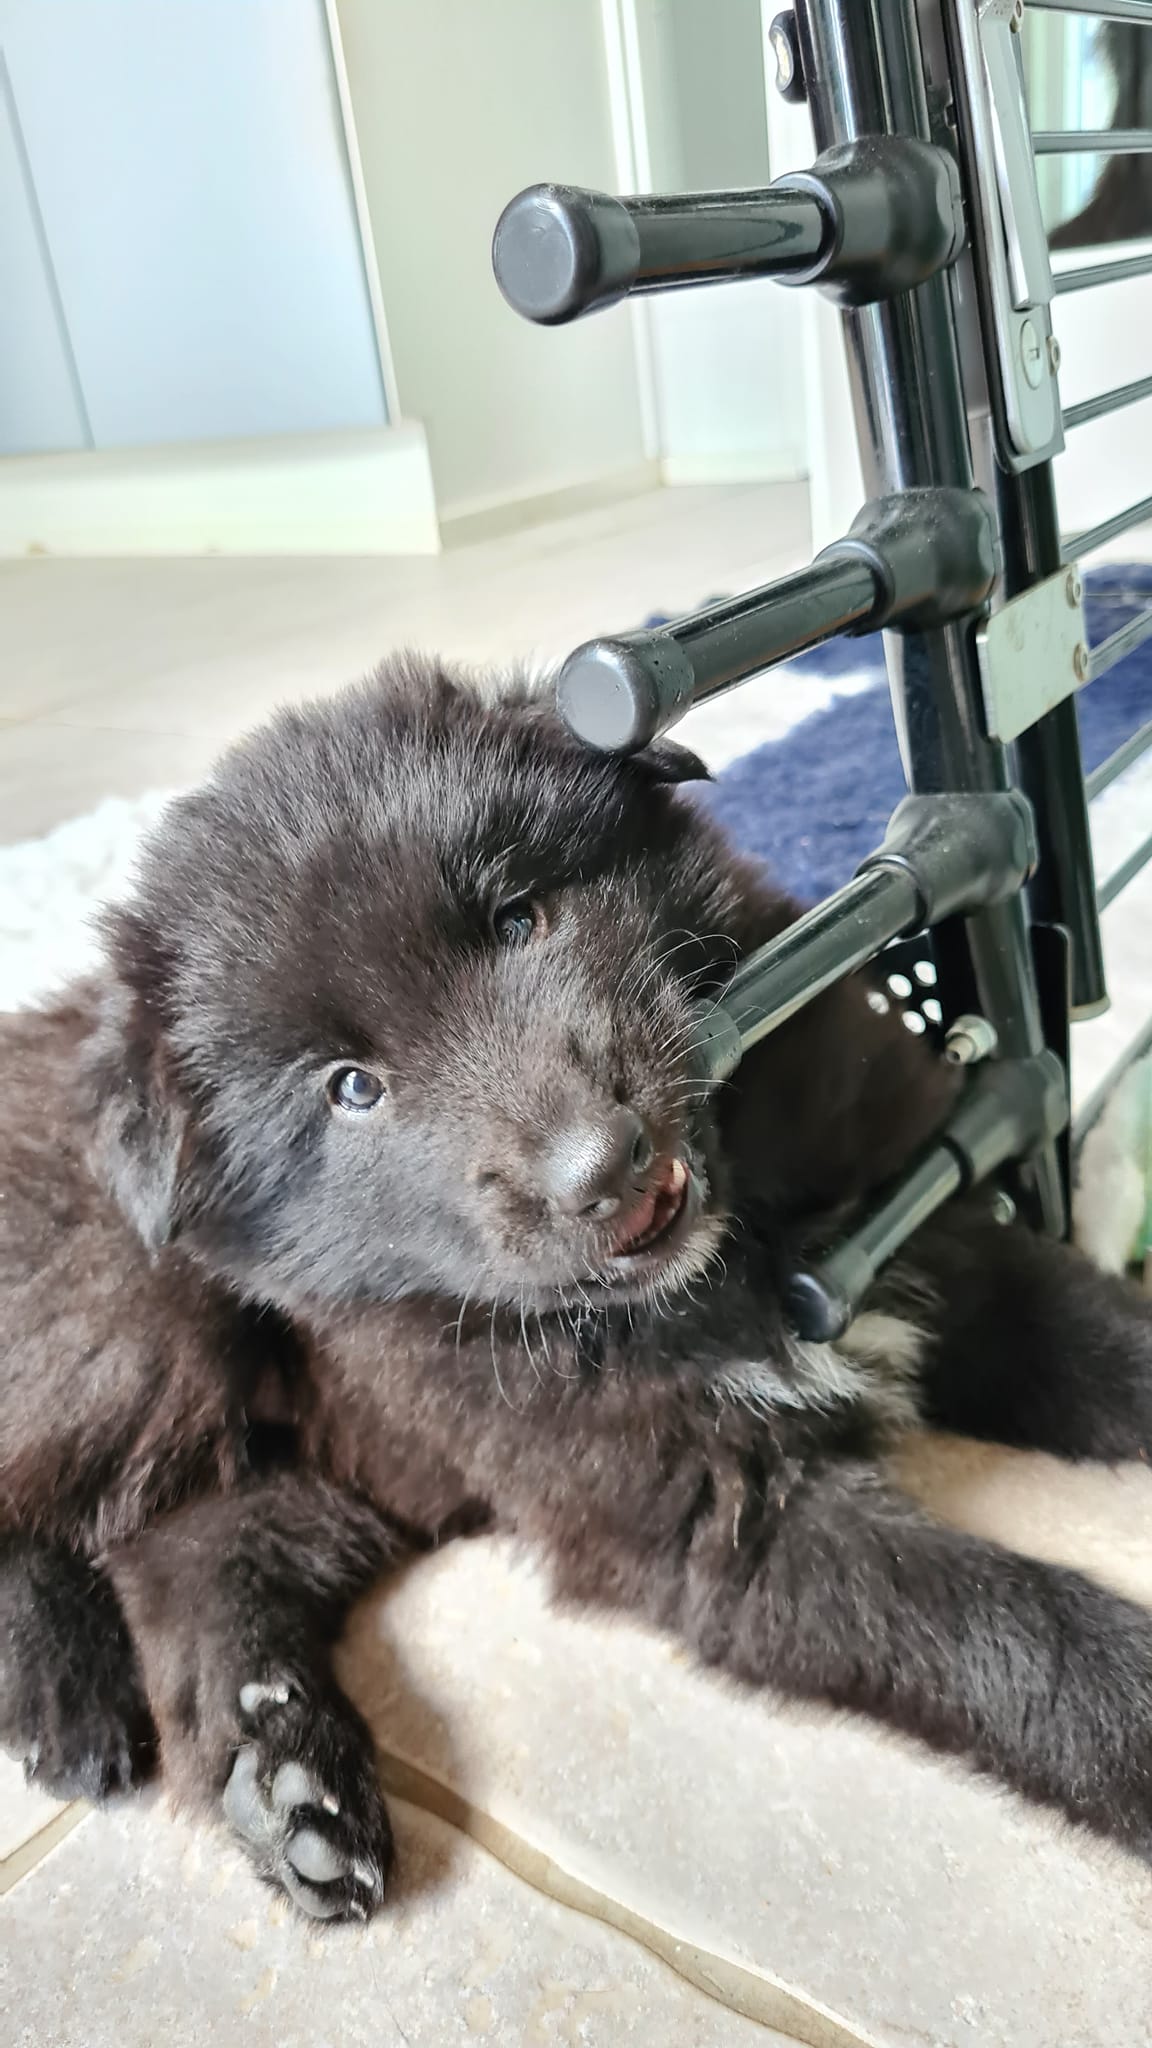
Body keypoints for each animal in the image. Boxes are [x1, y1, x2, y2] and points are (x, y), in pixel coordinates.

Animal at [4, 655, 1152, 1921]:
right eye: (351, 1088)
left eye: (519, 918)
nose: (597, 1169)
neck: (723, 1263)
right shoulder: (710, 1517)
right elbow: (1004, 1624)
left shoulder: (938, 1231)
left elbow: (1104, 1340)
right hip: (135, 1323)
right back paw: (67, 1696)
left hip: (336, 1461)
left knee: (190, 1553)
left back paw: (285, 1779)